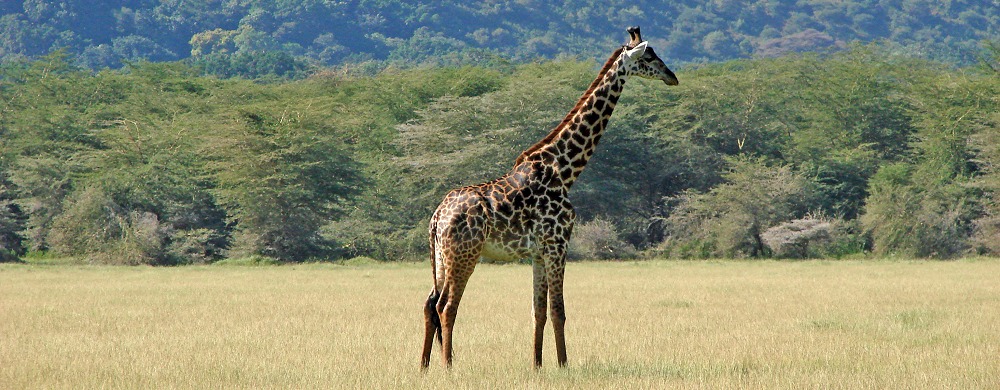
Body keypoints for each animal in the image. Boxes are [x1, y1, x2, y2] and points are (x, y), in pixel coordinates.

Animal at [418, 26, 676, 368]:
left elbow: (538, 310)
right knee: (447, 306)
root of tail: (437, 217)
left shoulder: (538, 252)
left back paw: (424, 366)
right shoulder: (558, 244)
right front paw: (564, 364)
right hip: (464, 254)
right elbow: (559, 310)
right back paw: (448, 366)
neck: (564, 171)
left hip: (440, 256)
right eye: (648, 57)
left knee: (430, 302)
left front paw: (537, 364)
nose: (672, 76)